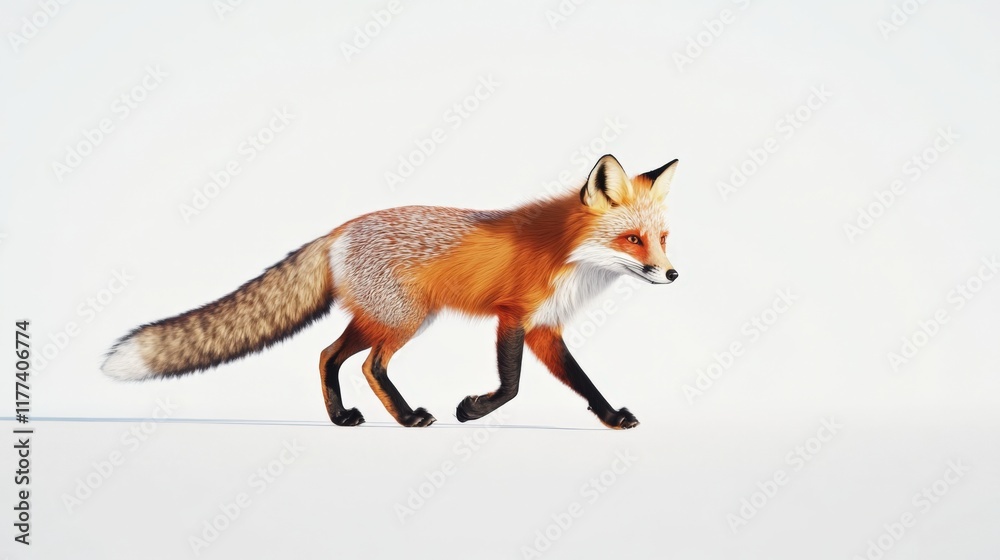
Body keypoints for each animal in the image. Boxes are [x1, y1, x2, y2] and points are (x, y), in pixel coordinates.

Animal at [102, 154, 679, 429]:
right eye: (632, 239)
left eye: (662, 239)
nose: (672, 275)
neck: (570, 257)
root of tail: (339, 230)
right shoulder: (513, 316)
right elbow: (512, 386)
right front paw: (471, 410)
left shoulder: (544, 328)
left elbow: (584, 383)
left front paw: (611, 417)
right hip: (405, 320)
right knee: (368, 365)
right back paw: (405, 418)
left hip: (380, 318)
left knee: (327, 355)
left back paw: (341, 418)